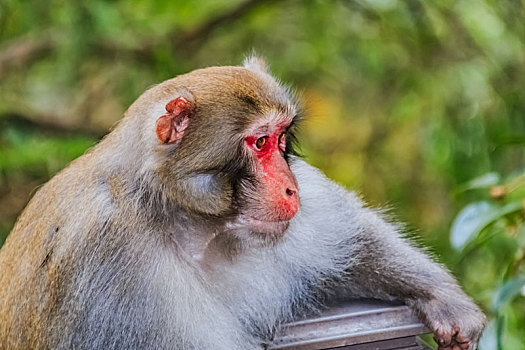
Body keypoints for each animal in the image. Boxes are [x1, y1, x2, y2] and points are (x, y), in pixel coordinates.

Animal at [0, 57, 484, 350]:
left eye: (283, 139)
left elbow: (349, 242)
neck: (192, 223)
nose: (292, 188)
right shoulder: (110, 261)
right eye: (260, 142)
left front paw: (443, 300)